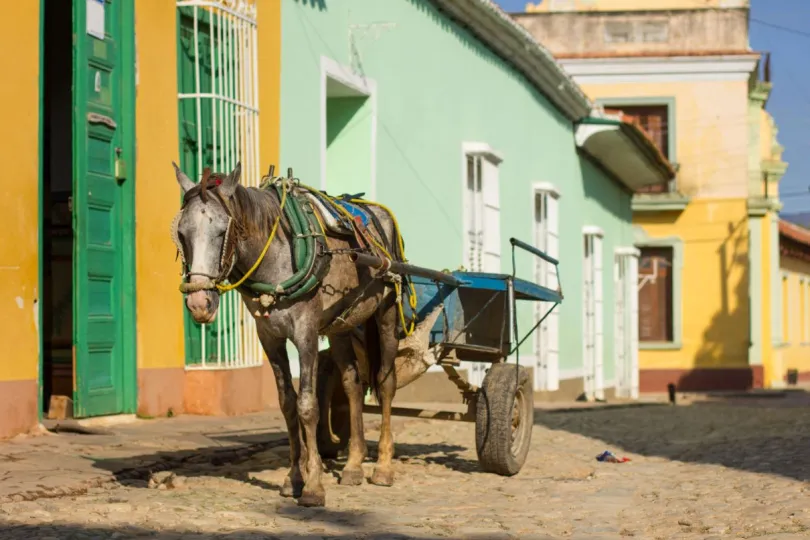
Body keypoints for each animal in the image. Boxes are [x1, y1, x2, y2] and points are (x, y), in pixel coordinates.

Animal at [173, 161, 408, 506]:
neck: (276, 255)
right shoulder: (269, 337)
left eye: (221, 231)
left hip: (387, 313)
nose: (199, 302)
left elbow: (307, 406)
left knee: (386, 383)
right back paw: (353, 465)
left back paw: (384, 468)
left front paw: (313, 485)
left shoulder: (306, 332)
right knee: (352, 383)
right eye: (181, 233)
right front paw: (294, 477)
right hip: (340, 325)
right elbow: (287, 404)